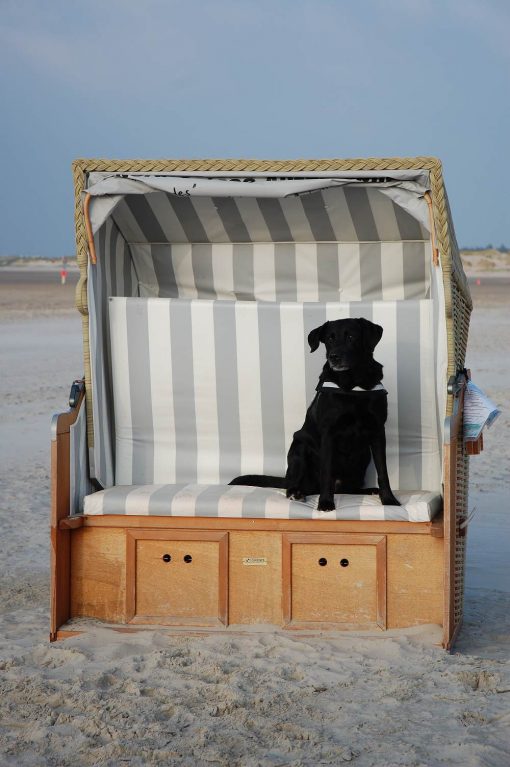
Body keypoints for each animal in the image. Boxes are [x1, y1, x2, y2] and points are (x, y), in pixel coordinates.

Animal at [229, 318, 400, 510]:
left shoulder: (378, 431)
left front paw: (389, 499)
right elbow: (326, 472)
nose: (334, 357)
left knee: (348, 489)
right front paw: (325, 502)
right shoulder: (328, 433)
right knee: (294, 485)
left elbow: (383, 471)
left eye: (351, 337)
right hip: (299, 448)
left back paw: (368, 490)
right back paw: (296, 492)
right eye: (330, 339)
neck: (352, 383)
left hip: (364, 456)